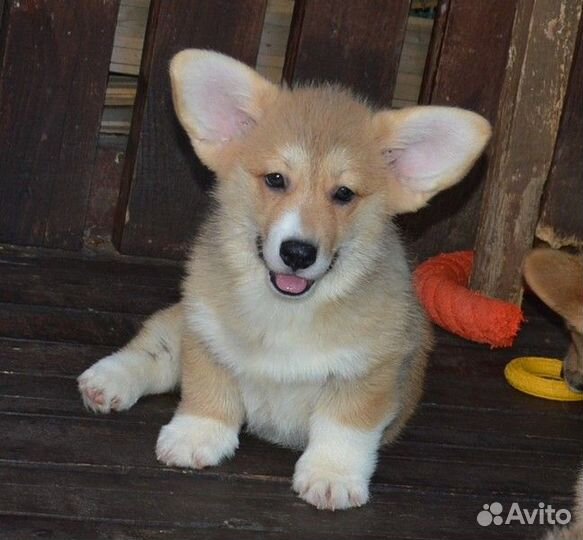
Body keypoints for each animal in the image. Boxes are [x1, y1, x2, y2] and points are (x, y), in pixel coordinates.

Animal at [76, 50, 488, 510]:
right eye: (276, 179)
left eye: (343, 194)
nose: (298, 253)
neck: (286, 312)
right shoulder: (207, 335)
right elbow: (207, 392)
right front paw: (195, 436)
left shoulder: (371, 371)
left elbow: (345, 426)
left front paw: (331, 475)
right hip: (180, 323)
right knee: (158, 348)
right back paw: (108, 380)